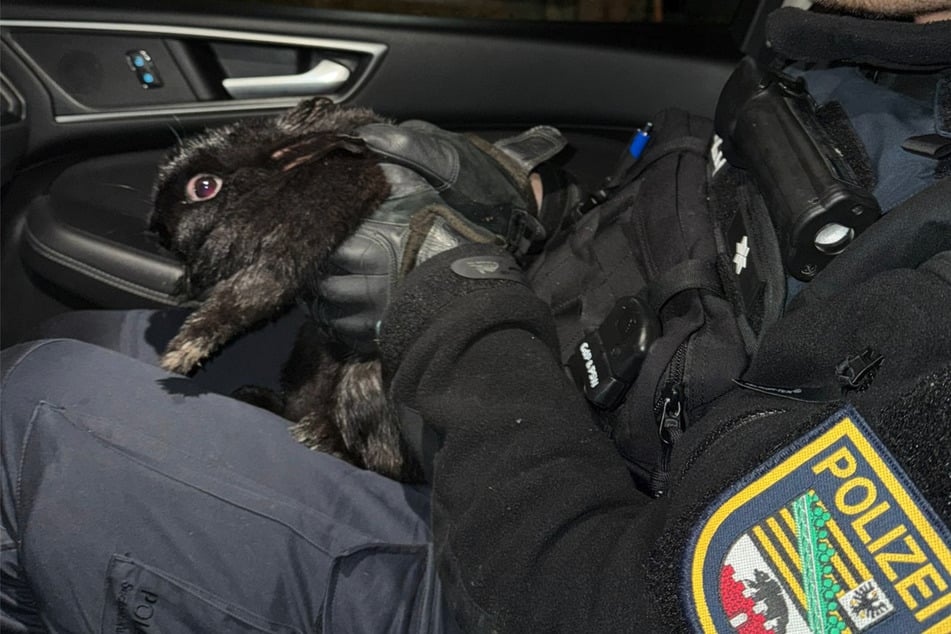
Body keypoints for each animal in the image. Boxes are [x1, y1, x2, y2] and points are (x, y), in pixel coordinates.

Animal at [150, 97, 422, 482]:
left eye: (203, 187)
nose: (155, 229)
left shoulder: (300, 234)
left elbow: (249, 295)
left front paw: (180, 354)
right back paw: (257, 397)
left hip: (365, 383)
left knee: (384, 464)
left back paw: (320, 437)